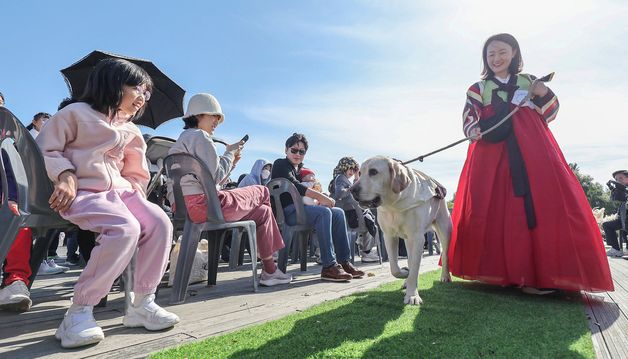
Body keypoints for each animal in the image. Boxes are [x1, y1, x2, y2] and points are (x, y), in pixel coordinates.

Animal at [350, 156, 448, 306]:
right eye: (360, 173)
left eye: (373, 172)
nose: (351, 189)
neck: (393, 205)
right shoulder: (389, 236)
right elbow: (395, 269)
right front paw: (405, 274)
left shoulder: (418, 238)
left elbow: (414, 268)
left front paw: (412, 295)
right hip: (408, 241)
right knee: (411, 260)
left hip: (444, 230)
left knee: (444, 254)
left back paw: (445, 276)